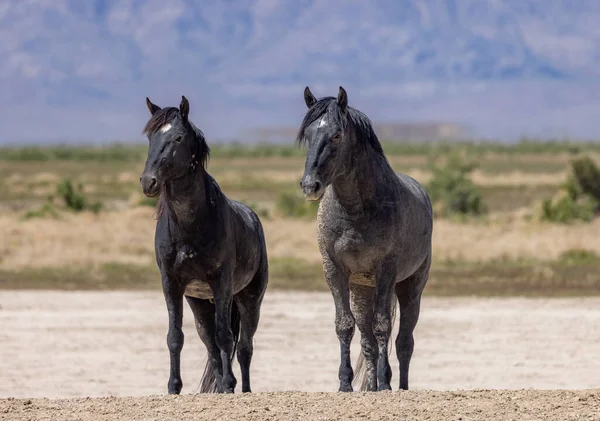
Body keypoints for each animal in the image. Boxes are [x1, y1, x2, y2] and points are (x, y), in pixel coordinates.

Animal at [139, 95, 268, 394]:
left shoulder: (221, 282)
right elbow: (175, 336)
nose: (149, 182)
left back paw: (243, 388)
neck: (190, 226)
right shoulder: (172, 283)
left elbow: (226, 337)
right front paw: (174, 386)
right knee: (211, 345)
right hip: (199, 302)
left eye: (178, 137)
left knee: (243, 347)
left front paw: (230, 385)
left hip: (249, 299)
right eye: (150, 137)